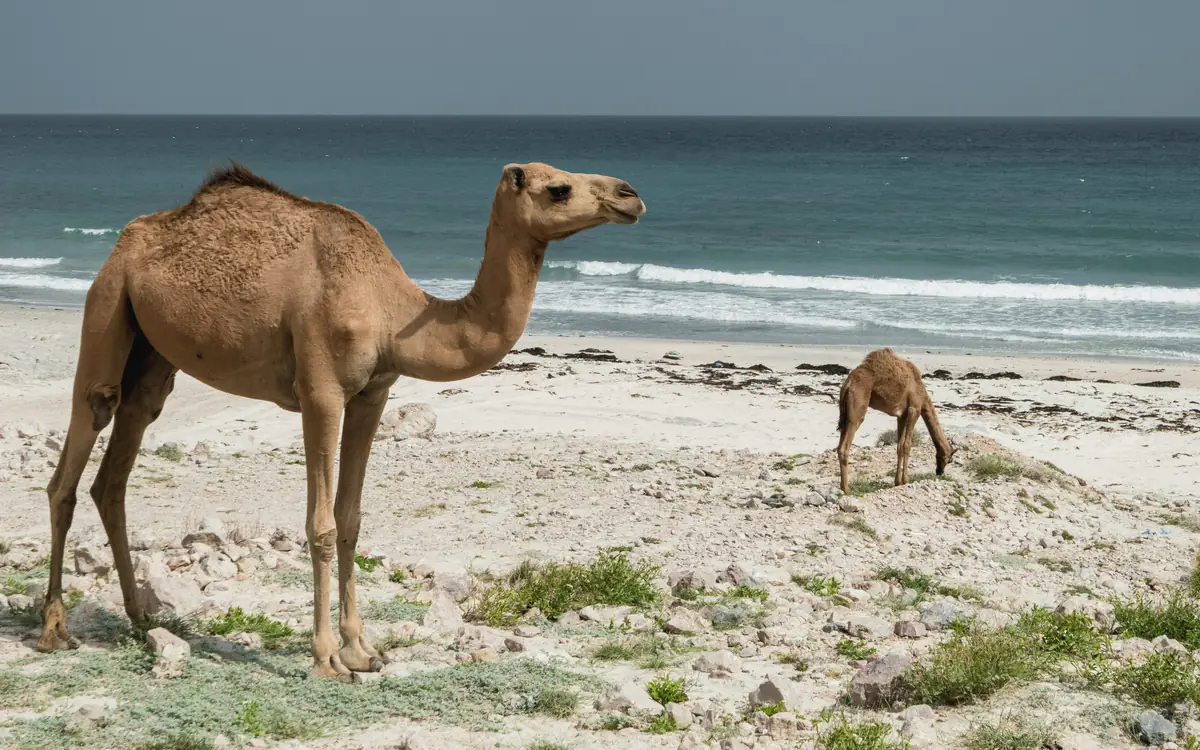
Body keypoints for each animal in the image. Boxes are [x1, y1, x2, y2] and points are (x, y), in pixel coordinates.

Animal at [37, 161, 646, 679]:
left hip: (153, 349)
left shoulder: (373, 393)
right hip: (108, 301)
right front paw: (327, 657)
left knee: (120, 458)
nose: (630, 194)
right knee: (79, 444)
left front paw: (362, 650)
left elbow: (351, 519)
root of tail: (128, 240)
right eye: (559, 188)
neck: (392, 310)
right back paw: (54, 629)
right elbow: (322, 525)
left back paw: (140, 615)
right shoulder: (322, 392)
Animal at [836, 348, 956, 494]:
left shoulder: (902, 415)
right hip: (857, 408)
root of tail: (848, 384)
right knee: (845, 445)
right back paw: (847, 489)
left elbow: (899, 446)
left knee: (840, 443)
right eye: (949, 460)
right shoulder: (914, 409)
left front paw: (897, 481)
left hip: (845, 414)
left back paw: (842, 486)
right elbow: (907, 445)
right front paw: (906, 480)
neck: (923, 394)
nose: (939, 472)